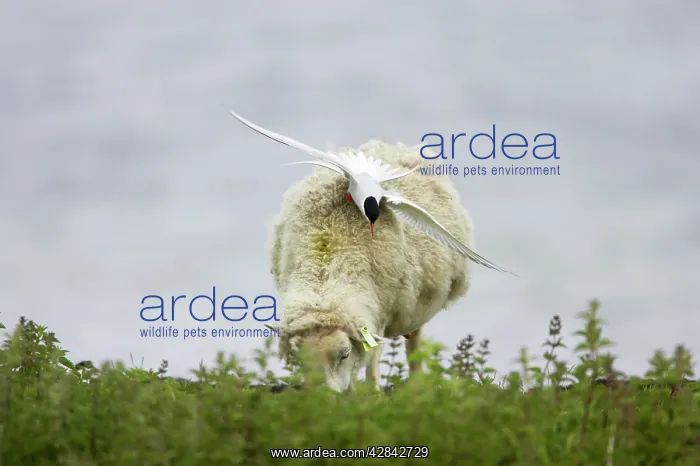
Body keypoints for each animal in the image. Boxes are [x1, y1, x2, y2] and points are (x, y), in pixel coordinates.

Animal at [265, 139, 473, 392]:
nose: (325, 396)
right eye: (299, 360)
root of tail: (389, 146)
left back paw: (417, 383)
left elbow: (372, 359)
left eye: (344, 355)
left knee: (414, 344)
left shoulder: (381, 313)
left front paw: (372, 392)